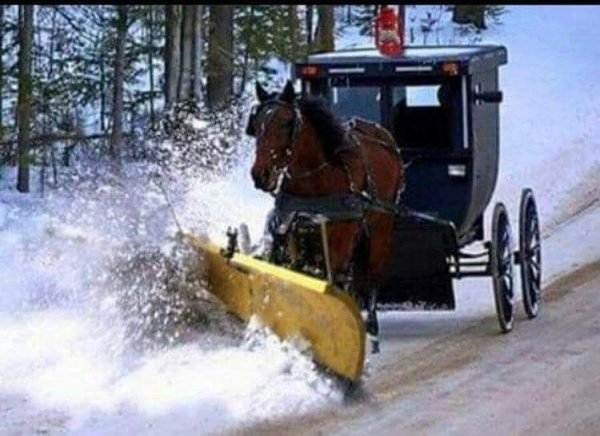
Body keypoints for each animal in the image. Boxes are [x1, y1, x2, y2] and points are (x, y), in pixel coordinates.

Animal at [246, 80, 406, 352]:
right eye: (256, 124)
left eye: (287, 123)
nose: (260, 174)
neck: (317, 180)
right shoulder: (292, 227)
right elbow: (299, 273)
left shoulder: (342, 235)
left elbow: (337, 278)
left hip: (380, 224)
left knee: (371, 274)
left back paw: (372, 330)